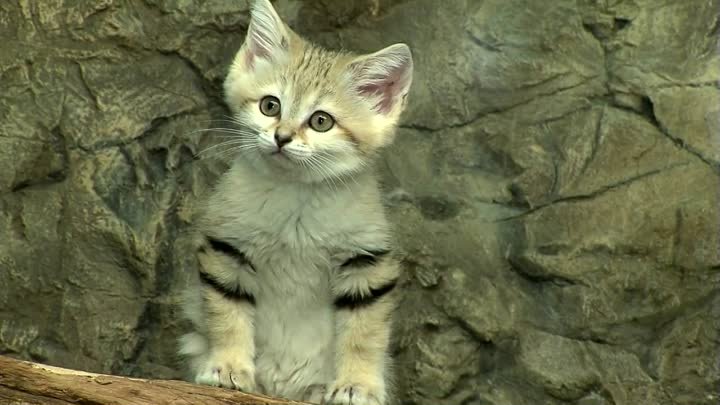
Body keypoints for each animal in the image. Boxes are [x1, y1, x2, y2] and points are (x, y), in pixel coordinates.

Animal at [178, 1, 414, 402]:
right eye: (270, 106)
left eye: (321, 121)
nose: (282, 137)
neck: (297, 198)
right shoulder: (227, 247)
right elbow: (227, 317)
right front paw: (228, 367)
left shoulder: (367, 262)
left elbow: (363, 336)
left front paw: (357, 384)